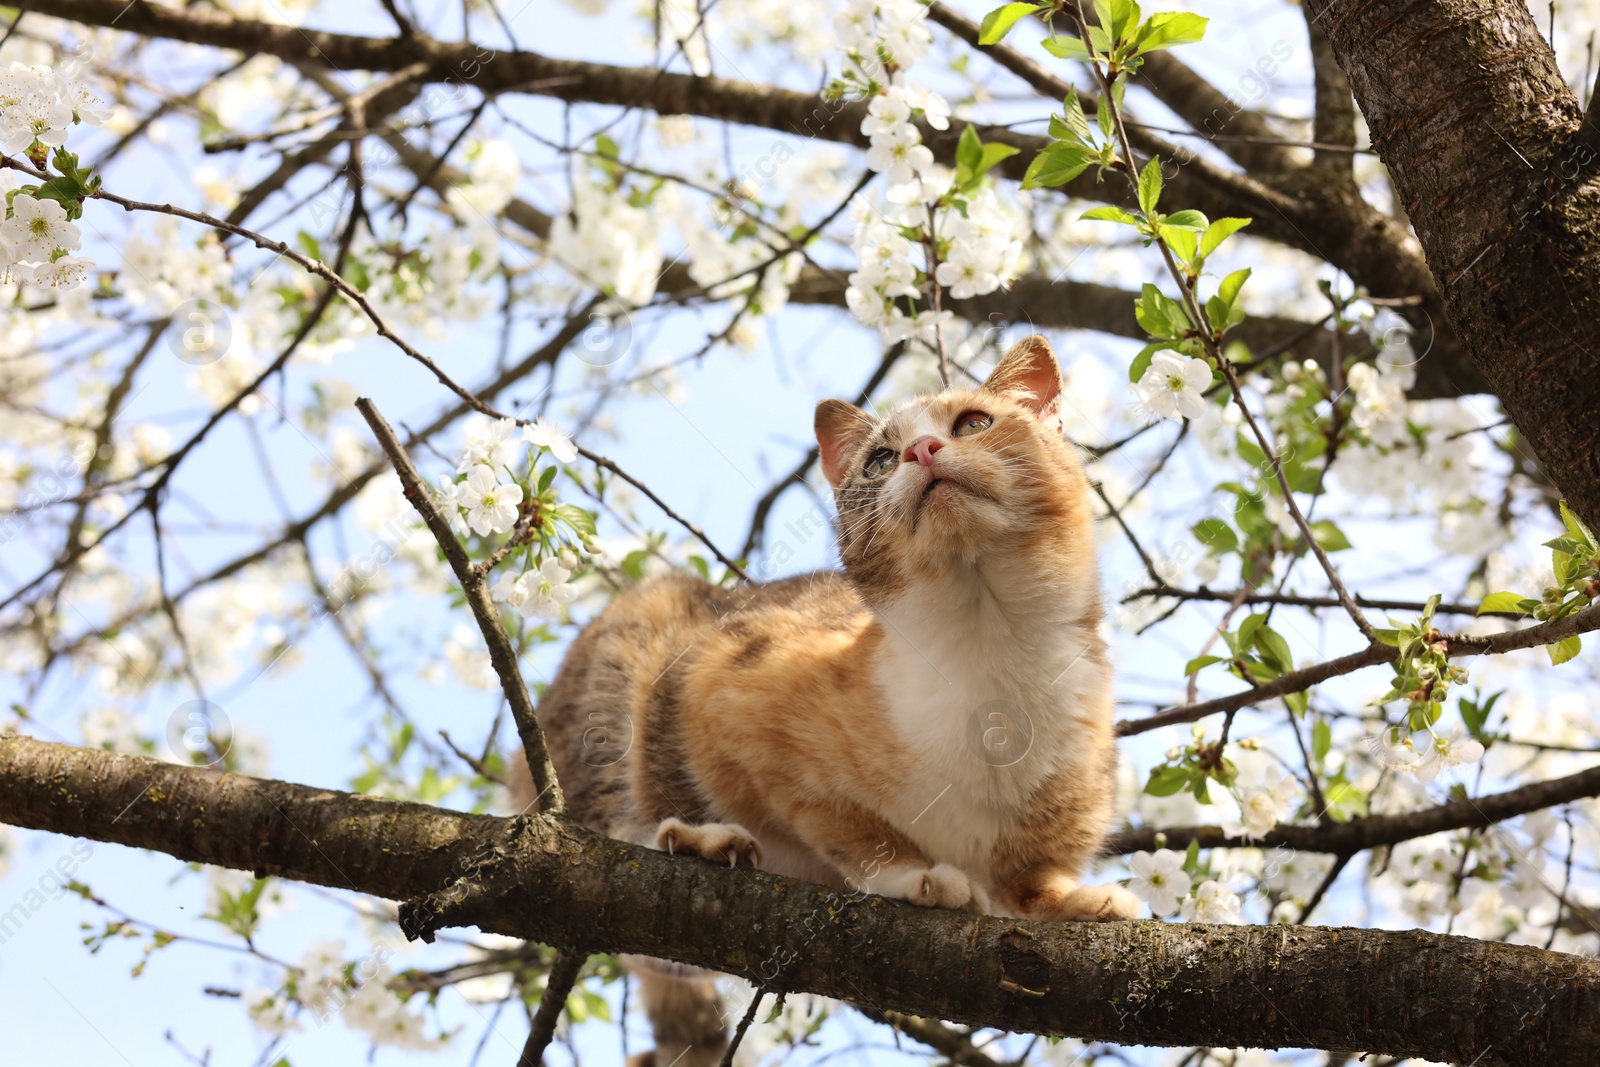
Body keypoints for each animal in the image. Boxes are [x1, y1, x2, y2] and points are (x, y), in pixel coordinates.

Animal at [518, 335, 1132, 1067]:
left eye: (974, 423)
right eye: (880, 459)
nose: (923, 451)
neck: (990, 646)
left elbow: (1032, 881)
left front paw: (1073, 901)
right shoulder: (725, 682)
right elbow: (835, 818)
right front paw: (910, 874)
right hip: (631, 658)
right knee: (620, 854)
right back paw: (696, 840)